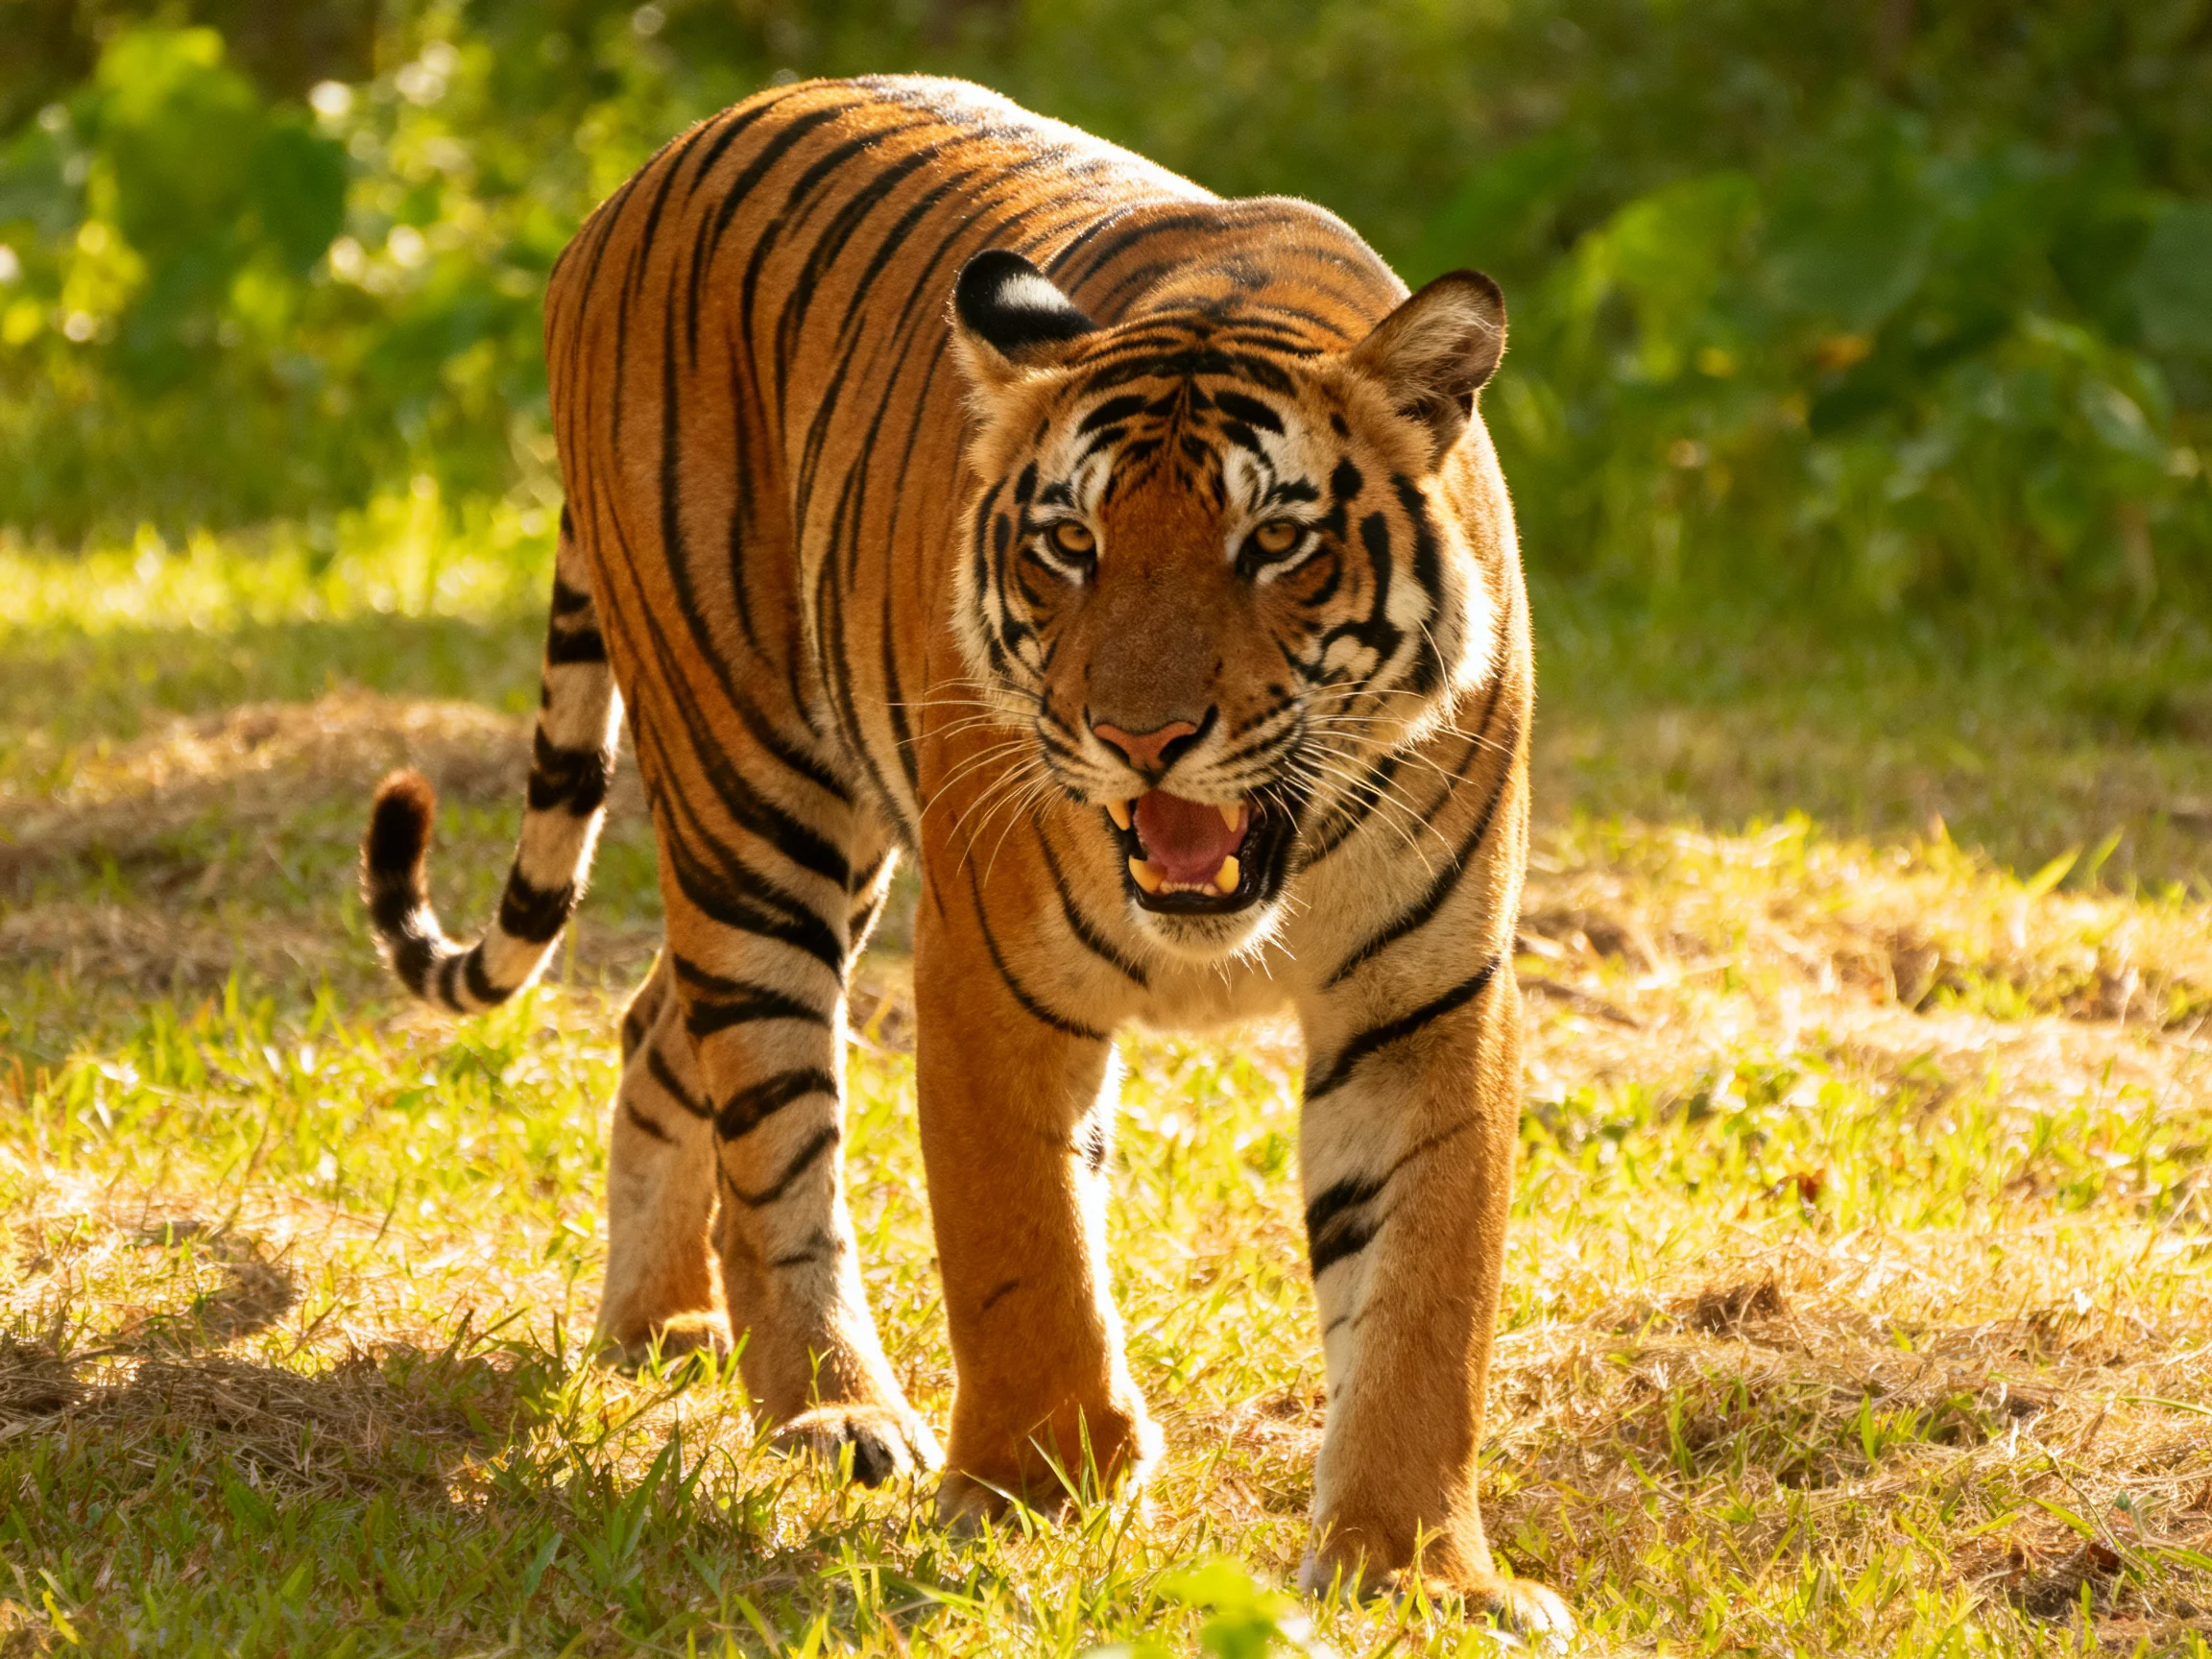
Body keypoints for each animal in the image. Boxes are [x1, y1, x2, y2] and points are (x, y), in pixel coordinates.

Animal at [359, 75, 1561, 1633]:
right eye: (1072, 543)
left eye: (1276, 542)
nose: (1140, 736)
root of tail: (641, 176)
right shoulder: (995, 968)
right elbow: (1021, 1244)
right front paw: (1040, 1488)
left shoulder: (1427, 999)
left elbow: (1424, 1299)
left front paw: (1417, 1572)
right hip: (756, 796)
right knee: (771, 1118)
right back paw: (834, 1409)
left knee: (656, 1025)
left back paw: (659, 1326)